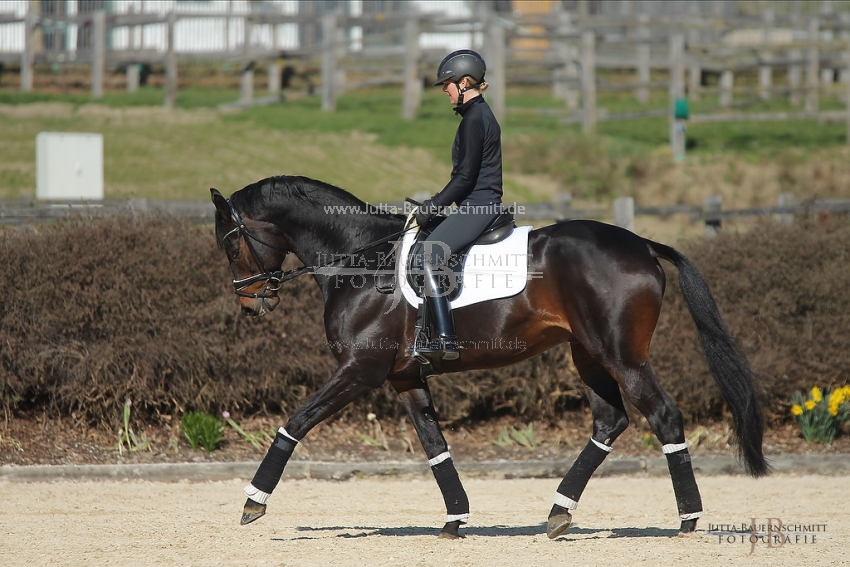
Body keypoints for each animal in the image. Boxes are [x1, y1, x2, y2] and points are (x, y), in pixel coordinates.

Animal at [209, 175, 764, 540]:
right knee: (610, 422)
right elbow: (435, 445)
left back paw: (687, 519)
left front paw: (253, 501)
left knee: (663, 416)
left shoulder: (360, 371)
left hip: (622, 356)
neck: (363, 259)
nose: (250, 302)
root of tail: (642, 245)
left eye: (230, 244)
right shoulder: (404, 376)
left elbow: (295, 422)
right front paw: (455, 519)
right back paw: (559, 513)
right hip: (587, 354)